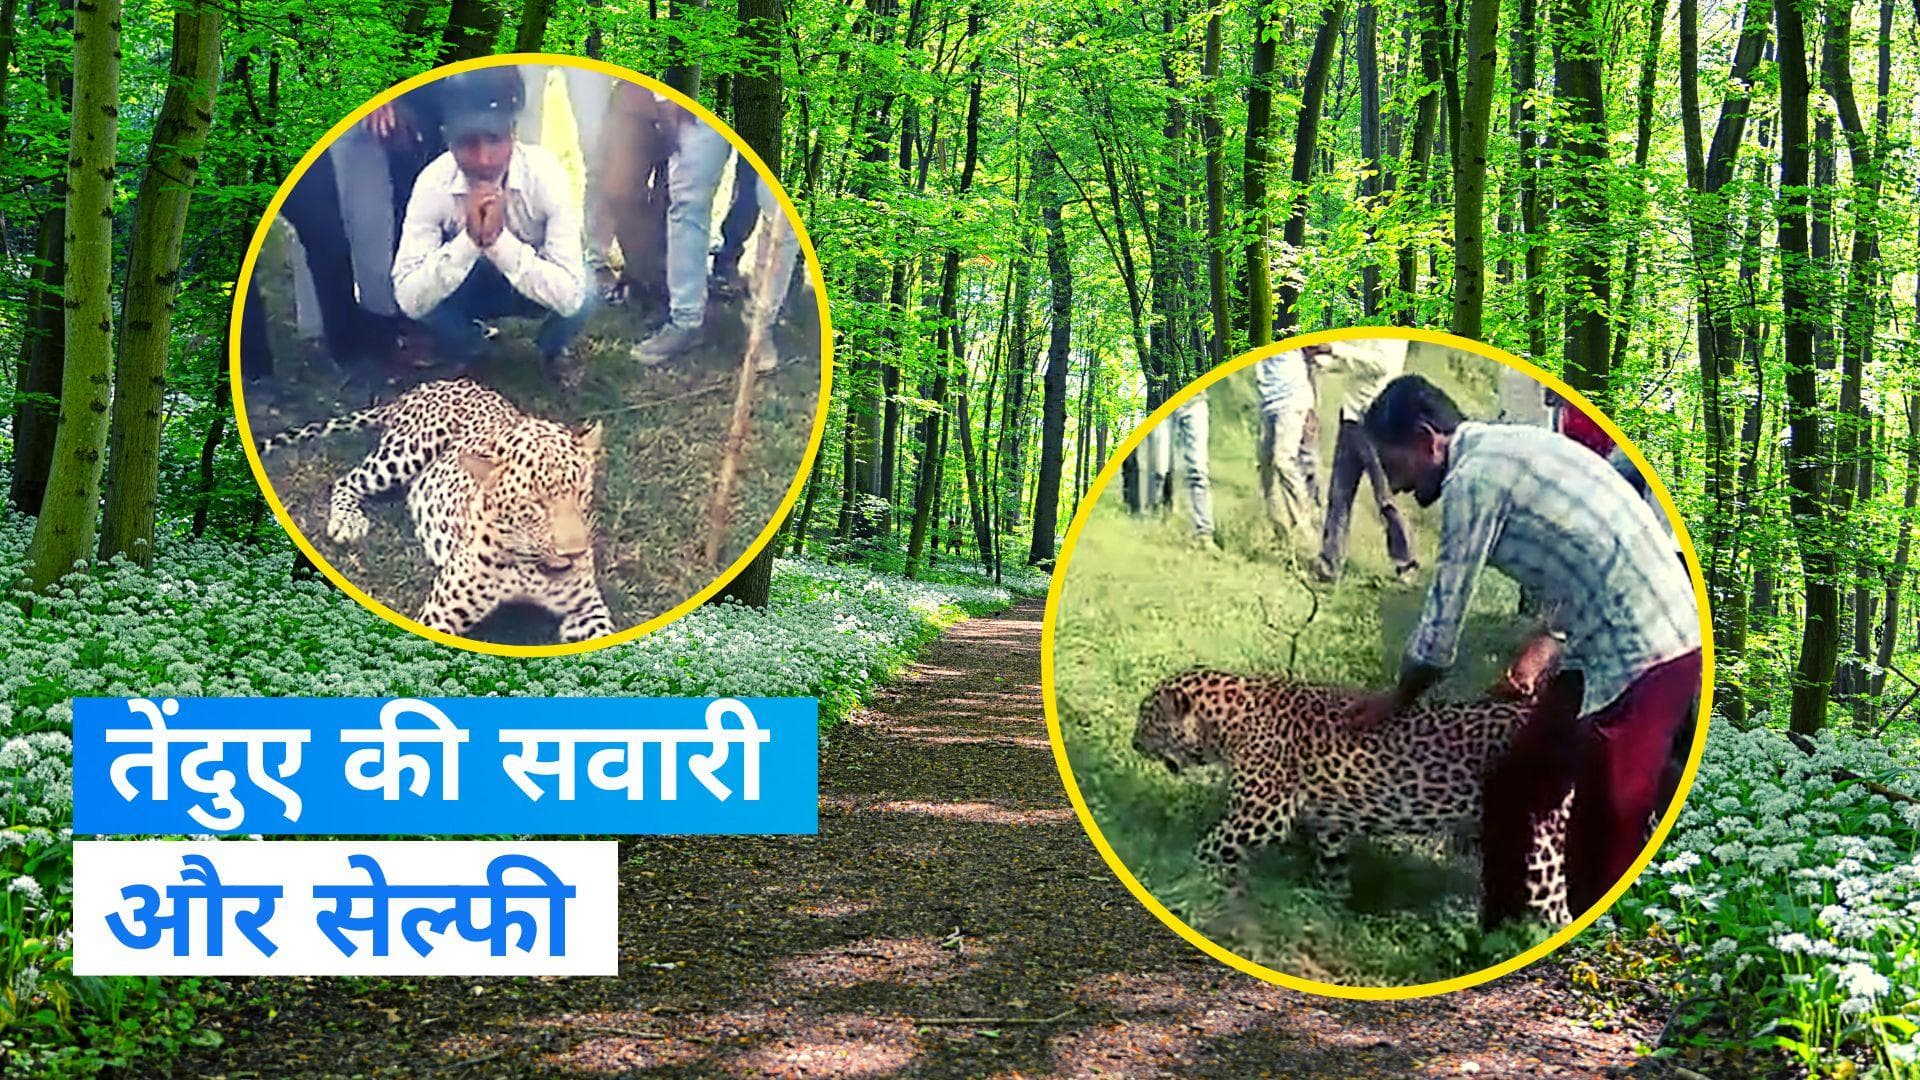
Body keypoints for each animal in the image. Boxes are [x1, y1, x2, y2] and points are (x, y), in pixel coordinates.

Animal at [259, 378, 617, 644]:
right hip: (407, 451)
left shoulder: (587, 609)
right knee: (347, 481)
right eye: (535, 504)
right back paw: (348, 522)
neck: (528, 568)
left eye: (582, 494)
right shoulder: (441, 612)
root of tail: (430, 384)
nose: (574, 554)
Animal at [1134, 670, 1572, 925]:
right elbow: (1333, 871)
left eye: (1147, 717)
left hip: (1540, 846)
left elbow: (1210, 846)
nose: (1134, 743)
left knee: (1558, 907)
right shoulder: (1330, 824)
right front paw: (1327, 916)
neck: (1228, 722)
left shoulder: (1261, 815)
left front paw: (1175, 872)